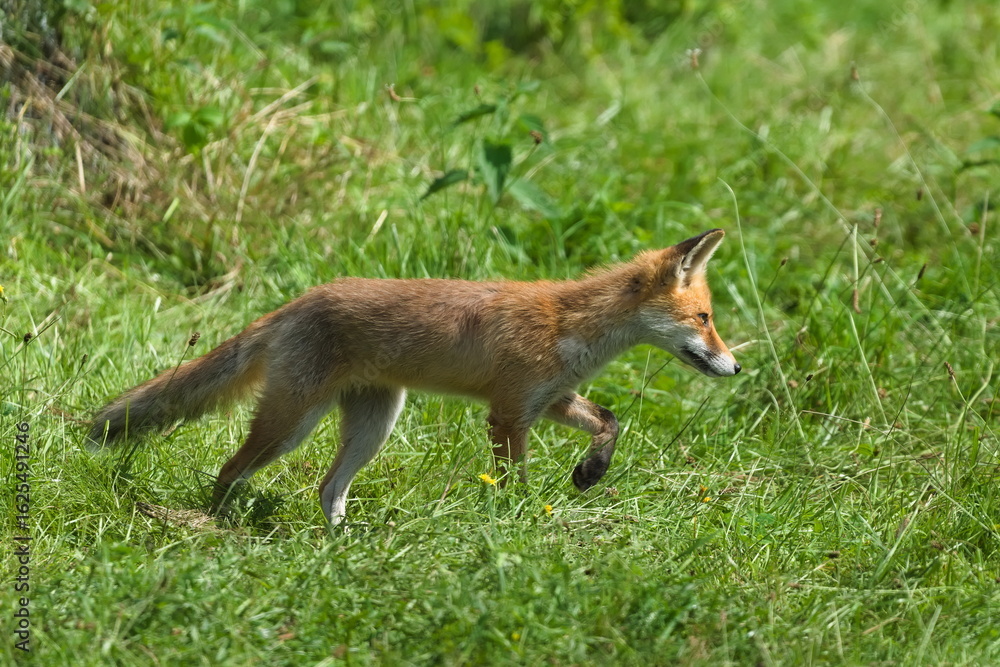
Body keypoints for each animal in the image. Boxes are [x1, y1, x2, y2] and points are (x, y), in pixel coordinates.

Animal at [88, 228, 741, 525]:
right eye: (705, 319)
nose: (737, 366)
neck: (570, 326)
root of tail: (294, 303)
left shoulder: (549, 399)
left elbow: (611, 421)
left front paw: (590, 472)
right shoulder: (509, 411)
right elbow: (515, 482)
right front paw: (519, 523)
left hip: (375, 422)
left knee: (328, 489)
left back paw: (338, 548)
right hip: (292, 423)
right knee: (231, 470)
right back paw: (218, 524)